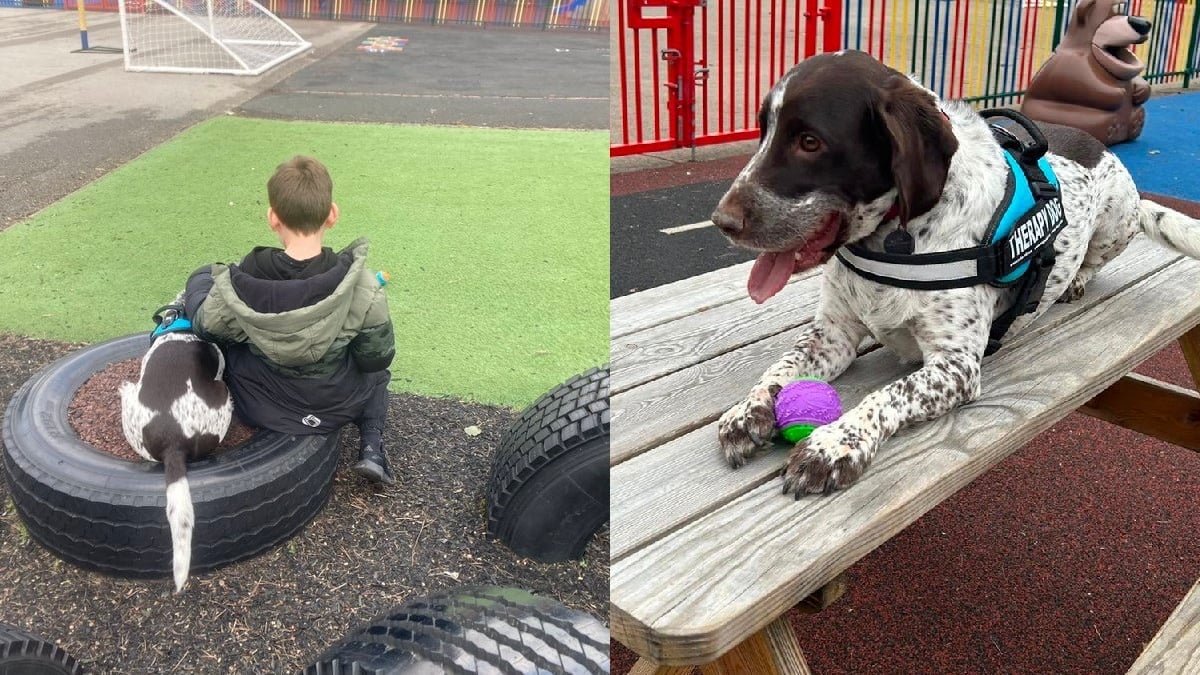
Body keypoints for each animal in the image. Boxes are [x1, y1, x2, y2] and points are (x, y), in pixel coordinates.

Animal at [710, 51, 1200, 494]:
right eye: (763, 131)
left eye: (810, 142)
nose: (721, 222)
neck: (894, 238)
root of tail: (1100, 146)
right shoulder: (832, 335)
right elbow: (781, 366)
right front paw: (748, 407)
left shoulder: (956, 365)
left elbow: (885, 395)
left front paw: (833, 443)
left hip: (1118, 220)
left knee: (1095, 259)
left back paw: (1076, 279)